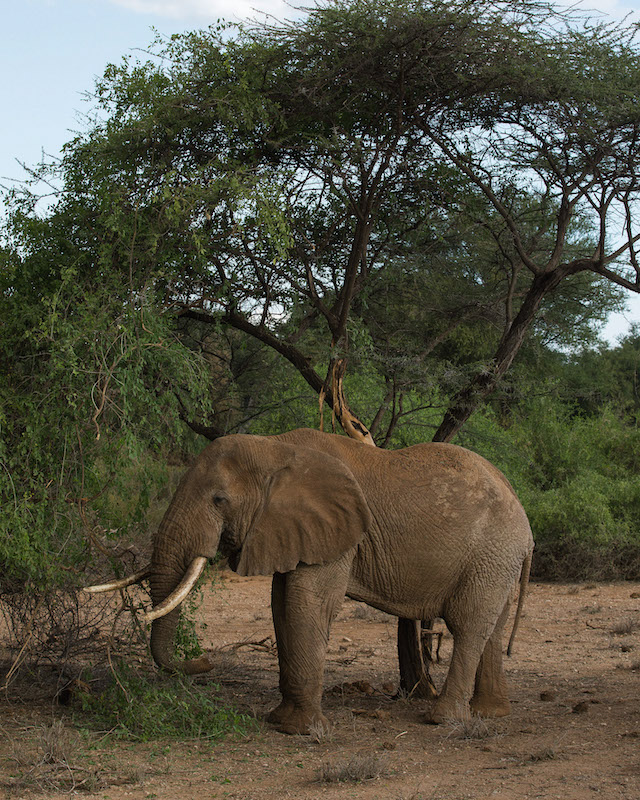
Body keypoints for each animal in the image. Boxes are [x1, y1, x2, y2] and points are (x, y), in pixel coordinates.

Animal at [86, 428, 536, 736]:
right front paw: (281, 721)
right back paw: (491, 714)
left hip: (493, 550)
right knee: (492, 628)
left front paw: (301, 731)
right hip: (499, 558)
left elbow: (306, 602)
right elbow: (281, 604)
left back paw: (442, 720)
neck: (274, 447)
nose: (204, 662)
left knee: (469, 624)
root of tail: (523, 513)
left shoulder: (336, 532)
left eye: (219, 500)